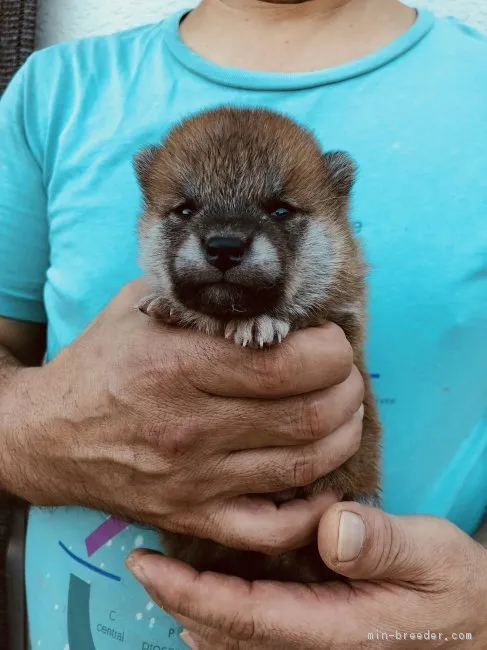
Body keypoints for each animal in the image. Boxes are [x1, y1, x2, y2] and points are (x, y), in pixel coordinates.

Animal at [133, 107, 382, 584]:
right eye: (185, 209)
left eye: (280, 209)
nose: (224, 247)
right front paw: (169, 305)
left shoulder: (343, 323)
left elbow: (301, 314)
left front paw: (259, 321)